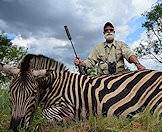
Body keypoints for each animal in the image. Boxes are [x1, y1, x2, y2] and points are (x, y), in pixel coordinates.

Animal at [0, 53, 162, 131]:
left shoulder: (68, 107)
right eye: (10, 94)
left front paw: (67, 122)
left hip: (156, 107)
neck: (54, 84)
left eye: (33, 93)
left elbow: (43, 113)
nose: (15, 127)